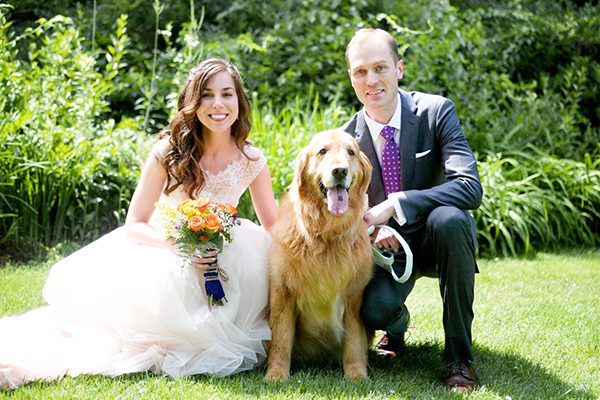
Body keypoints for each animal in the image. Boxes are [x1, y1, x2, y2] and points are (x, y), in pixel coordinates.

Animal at [266, 129, 372, 382]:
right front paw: (276, 374)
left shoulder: (354, 296)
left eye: (350, 152)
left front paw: (356, 374)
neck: (327, 235)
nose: (340, 170)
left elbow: (354, 341)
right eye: (322, 151)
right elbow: (280, 339)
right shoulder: (282, 291)